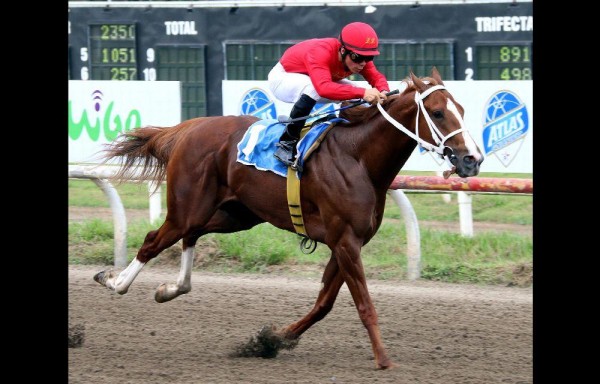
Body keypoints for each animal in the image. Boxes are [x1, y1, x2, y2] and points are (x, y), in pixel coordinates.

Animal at [92, 68, 482, 368]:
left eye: (462, 109)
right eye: (437, 113)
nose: (472, 160)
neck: (358, 157)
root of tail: (188, 128)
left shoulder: (348, 242)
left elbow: (324, 303)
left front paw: (273, 340)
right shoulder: (345, 240)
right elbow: (364, 304)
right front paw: (384, 359)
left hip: (236, 214)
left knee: (191, 236)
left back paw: (170, 288)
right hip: (189, 208)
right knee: (153, 240)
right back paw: (114, 281)